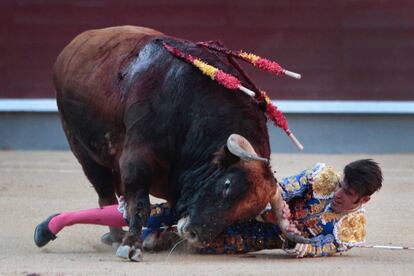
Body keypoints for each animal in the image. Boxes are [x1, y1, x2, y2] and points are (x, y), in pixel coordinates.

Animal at [53, 26, 292, 260]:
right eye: (226, 185)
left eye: (244, 215)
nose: (196, 235)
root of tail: (73, 45)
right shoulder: (136, 157)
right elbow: (139, 204)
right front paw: (131, 246)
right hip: (79, 145)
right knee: (105, 194)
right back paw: (116, 237)